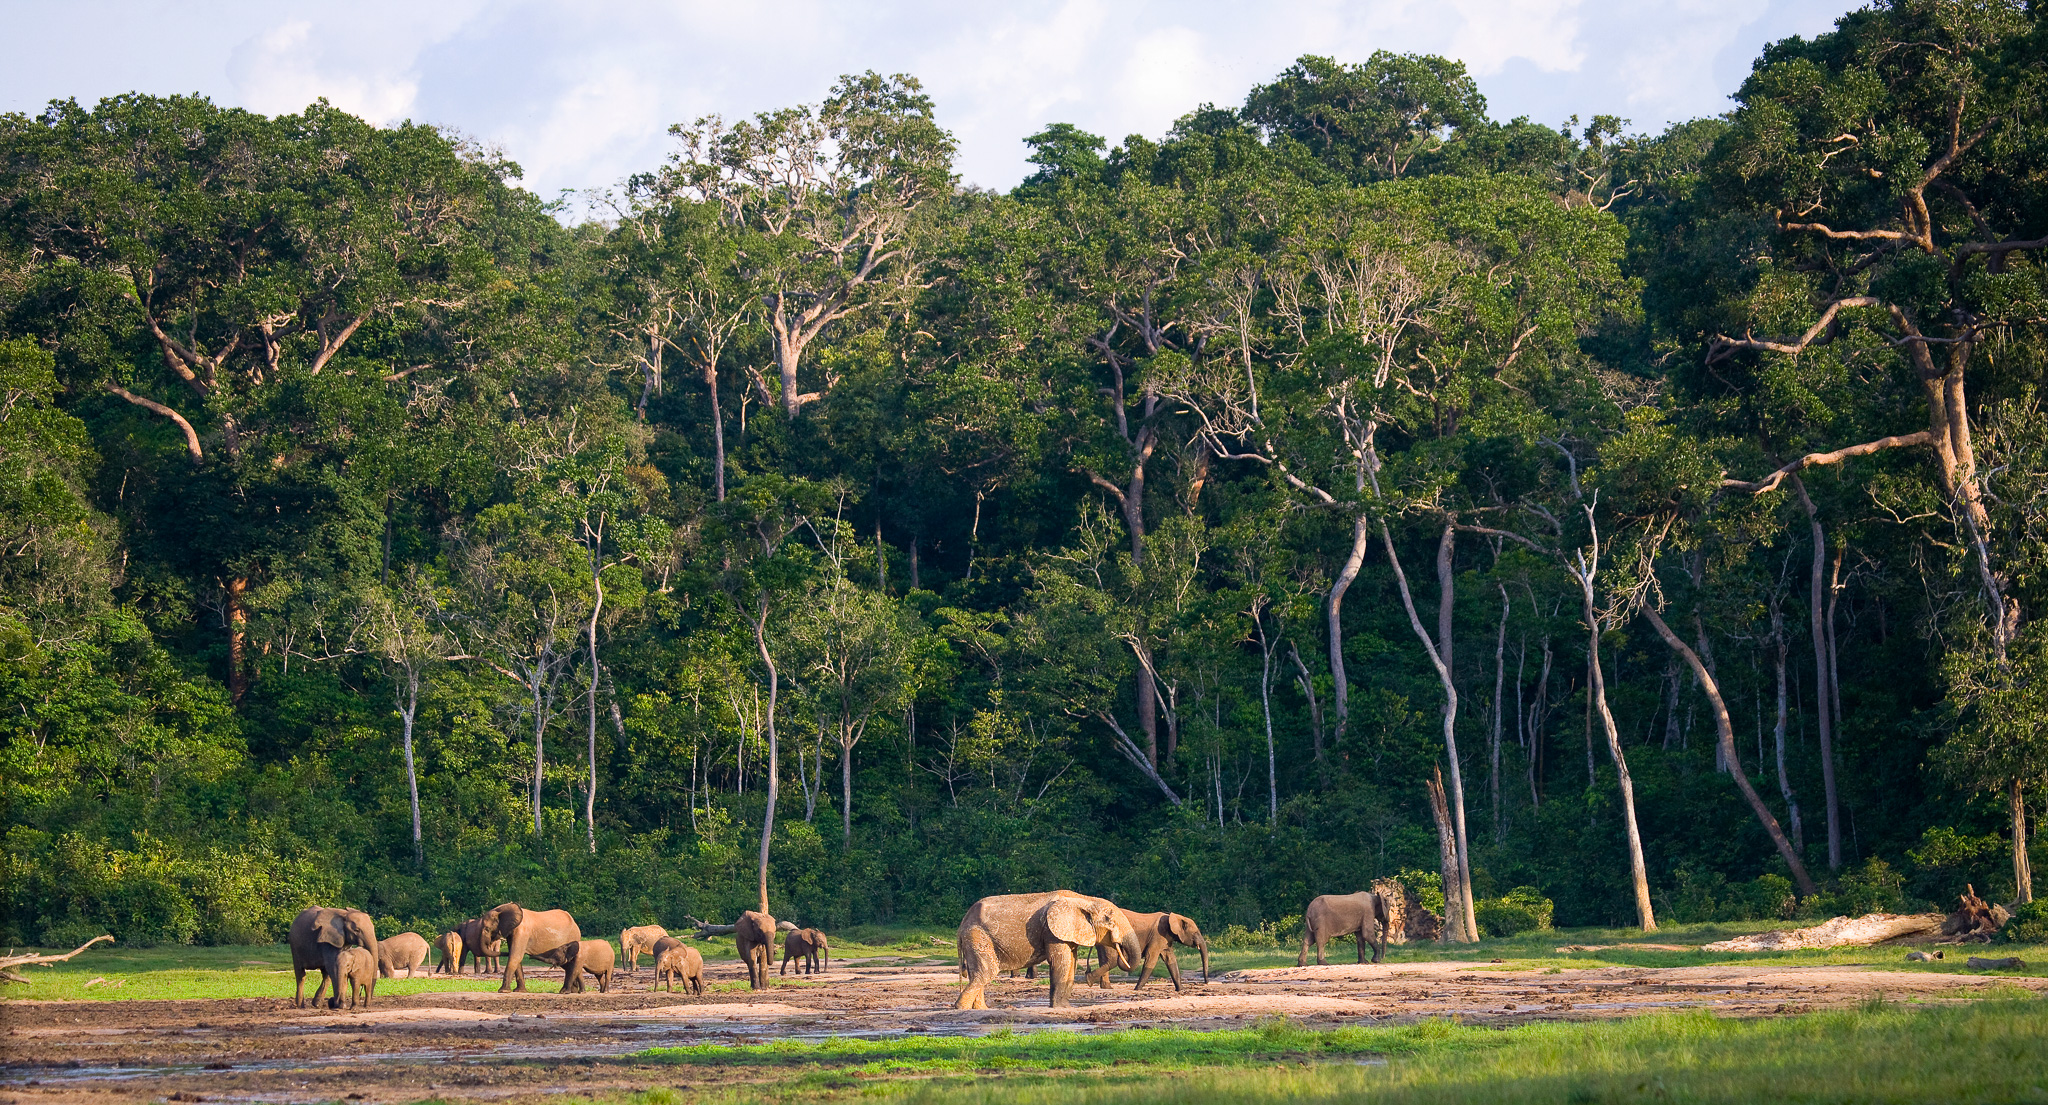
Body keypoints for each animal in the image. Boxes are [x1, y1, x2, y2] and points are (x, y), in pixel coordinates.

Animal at [955, 890, 1132, 1010]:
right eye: (1109, 920)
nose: (1089, 978)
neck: (1084, 900)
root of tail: (962, 923)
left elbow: (1071, 963)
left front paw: (1065, 1007)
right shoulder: (1052, 932)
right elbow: (1061, 962)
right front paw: (1060, 1008)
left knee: (977, 973)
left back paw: (980, 1009)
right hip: (977, 935)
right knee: (987, 972)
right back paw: (961, 1008)